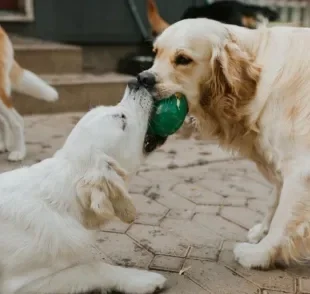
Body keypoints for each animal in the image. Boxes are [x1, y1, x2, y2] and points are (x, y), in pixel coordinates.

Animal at [0, 79, 167, 292]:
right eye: (122, 119)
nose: (136, 82)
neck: (63, 205)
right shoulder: (22, 285)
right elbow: (93, 267)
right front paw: (141, 279)